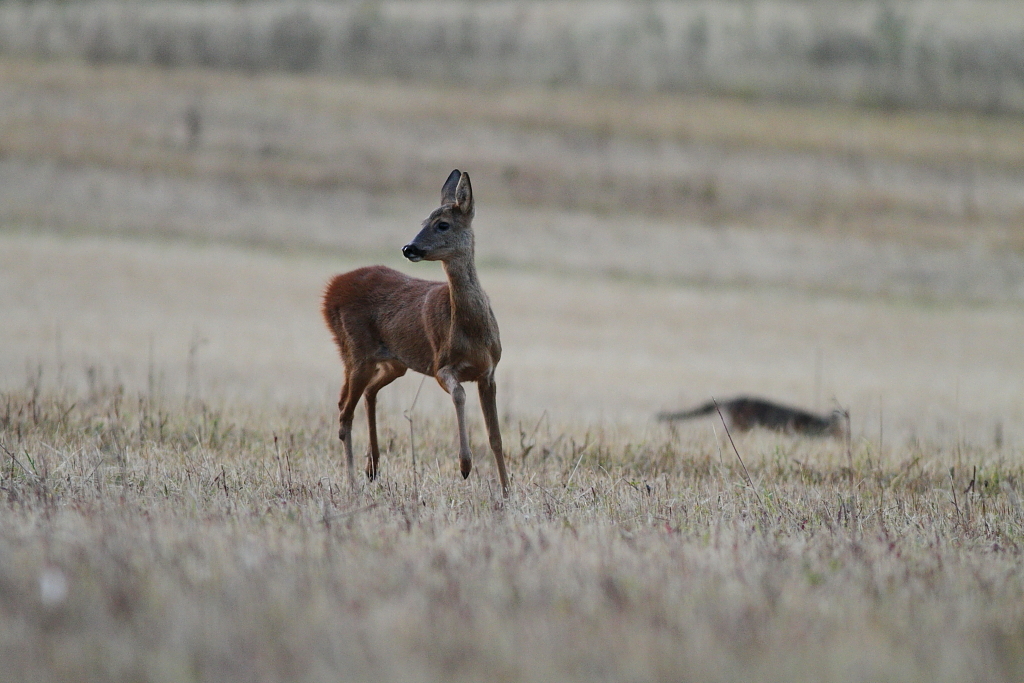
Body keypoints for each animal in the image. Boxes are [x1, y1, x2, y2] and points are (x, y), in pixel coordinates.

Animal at [321, 167, 509, 493]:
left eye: (442, 224)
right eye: (424, 222)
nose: (409, 247)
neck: (471, 330)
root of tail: (331, 289)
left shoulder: (489, 372)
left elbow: (495, 437)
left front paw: (508, 491)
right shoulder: (440, 364)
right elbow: (459, 394)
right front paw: (465, 465)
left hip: (394, 362)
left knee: (368, 393)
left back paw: (372, 466)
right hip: (355, 350)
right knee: (344, 412)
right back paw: (353, 482)